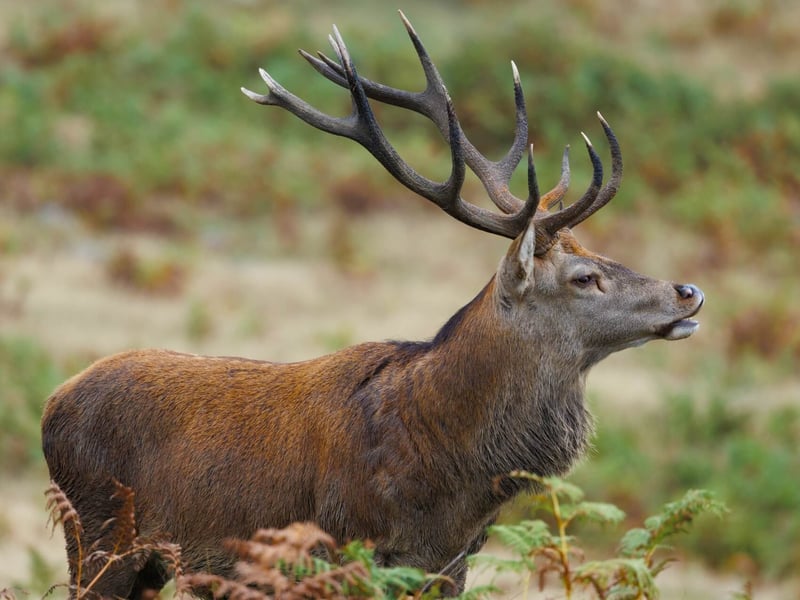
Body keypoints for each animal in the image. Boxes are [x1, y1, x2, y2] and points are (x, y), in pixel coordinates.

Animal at [41, 12, 704, 599]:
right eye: (584, 277)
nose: (687, 291)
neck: (451, 478)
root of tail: (51, 405)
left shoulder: (450, 565)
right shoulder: (345, 548)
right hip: (99, 535)